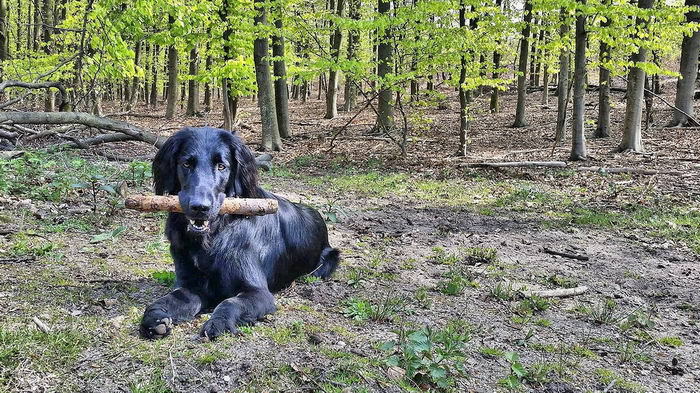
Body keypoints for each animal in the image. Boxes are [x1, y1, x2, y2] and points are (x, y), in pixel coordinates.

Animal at [139, 127, 340, 338]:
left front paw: (218, 322)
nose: (200, 207)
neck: (212, 237)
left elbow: (230, 302)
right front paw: (155, 318)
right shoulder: (190, 285)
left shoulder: (259, 293)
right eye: (186, 163)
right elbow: (168, 299)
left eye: (221, 166)